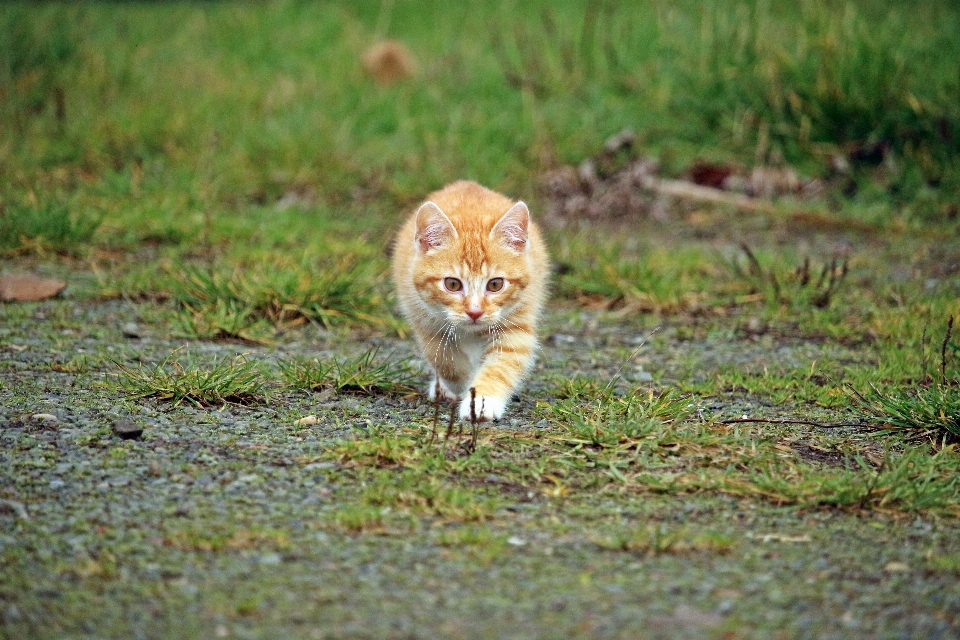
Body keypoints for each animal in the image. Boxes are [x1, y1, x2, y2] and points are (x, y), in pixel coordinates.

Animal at [390, 180, 548, 422]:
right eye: (453, 284)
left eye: (495, 284)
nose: (475, 312)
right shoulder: (423, 318)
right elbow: (445, 360)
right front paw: (462, 385)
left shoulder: (517, 323)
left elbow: (502, 365)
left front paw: (482, 400)